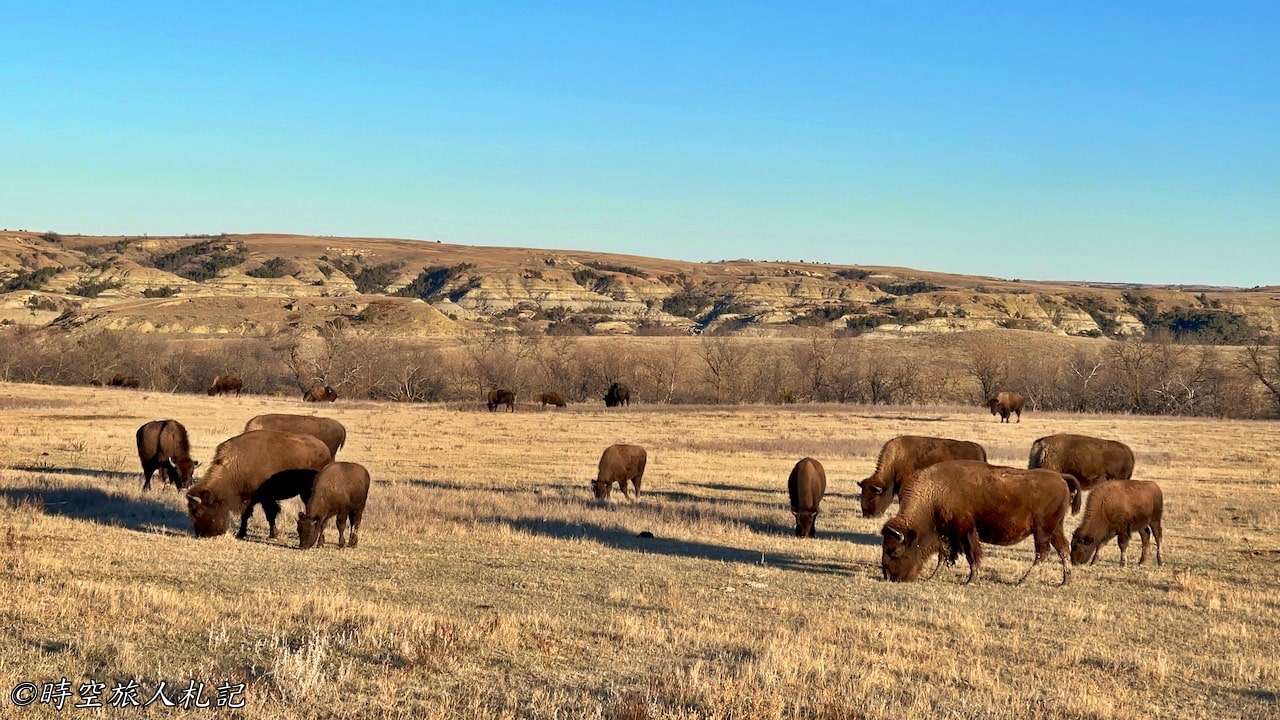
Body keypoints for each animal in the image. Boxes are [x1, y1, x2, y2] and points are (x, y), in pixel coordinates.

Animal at [186, 425, 335, 538]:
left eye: (199, 512)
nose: (202, 534)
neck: (236, 465)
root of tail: (325, 449)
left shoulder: (265, 498)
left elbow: (270, 514)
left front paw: (273, 534)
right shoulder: (249, 498)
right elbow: (246, 515)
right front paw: (241, 533)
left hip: (307, 491)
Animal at [885, 458, 1085, 584]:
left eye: (894, 551)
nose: (890, 576)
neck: (935, 493)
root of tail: (1060, 477)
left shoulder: (966, 530)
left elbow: (971, 555)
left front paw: (971, 580)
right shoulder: (947, 533)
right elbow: (945, 555)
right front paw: (933, 577)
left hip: (1042, 530)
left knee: (1042, 553)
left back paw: (1022, 581)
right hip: (1054, 529)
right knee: (1062, 550)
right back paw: (1064, 582)